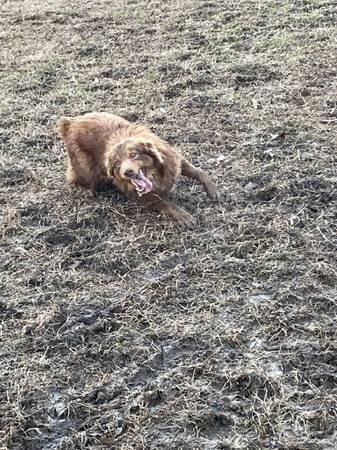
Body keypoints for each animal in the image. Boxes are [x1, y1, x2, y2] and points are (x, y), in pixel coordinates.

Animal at [56, 111, 218, 227]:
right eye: (117, 163)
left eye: (133, 155)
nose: (127, 172)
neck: (155, 175)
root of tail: (70, 122)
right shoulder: (145, 198)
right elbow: (168, 204)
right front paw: (183, 216)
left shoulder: (175, 162)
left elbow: (199, 172)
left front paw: (212, 190)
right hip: (85, 167)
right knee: (76, 178)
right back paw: (88, 190)